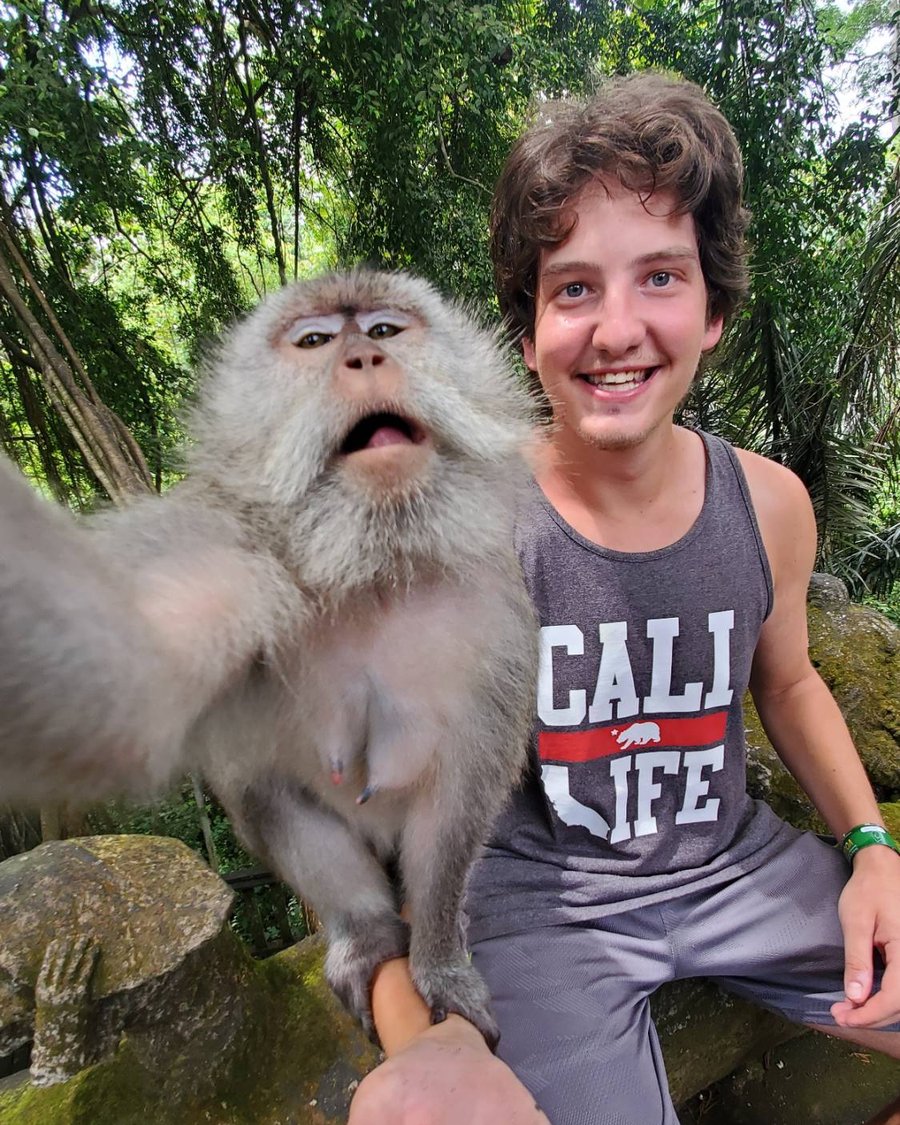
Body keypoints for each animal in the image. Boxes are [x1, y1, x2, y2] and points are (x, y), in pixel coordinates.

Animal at [0, 269, 538, 1046]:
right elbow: (120, 681)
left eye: (384, 330)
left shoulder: (500, 616)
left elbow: (459, 798)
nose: (364, 358)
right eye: (315, 341)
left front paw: (439, 961)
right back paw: (364, 930)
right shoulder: (222, 547)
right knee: (258, 787)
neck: (373, 567)